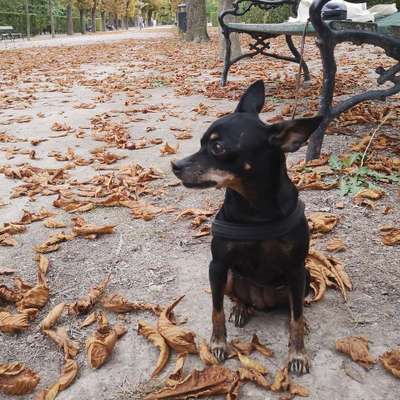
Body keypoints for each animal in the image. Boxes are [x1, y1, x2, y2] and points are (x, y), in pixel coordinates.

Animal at [171, 79, 322, 374]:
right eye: (201, 143)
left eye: (217, 148)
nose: (175, 165)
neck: (255, 209)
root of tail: (262, 301)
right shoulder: (217, 266)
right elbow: (216, 310)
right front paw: (218, 343)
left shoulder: (296, 269)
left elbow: (297, 317)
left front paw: (297, 354)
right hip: (230, 277)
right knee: (238, 298)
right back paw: (241, 308)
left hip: (304, 277)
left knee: (293, 307)